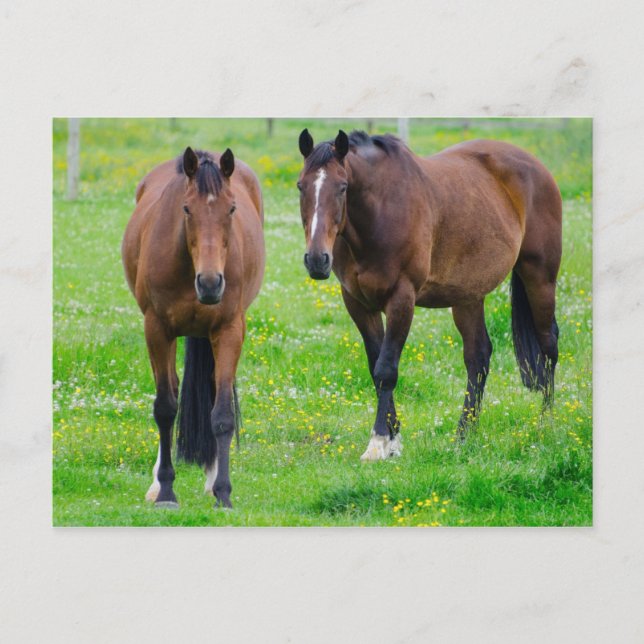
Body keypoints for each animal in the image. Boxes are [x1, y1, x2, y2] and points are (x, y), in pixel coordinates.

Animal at [122, 147, 265, 507]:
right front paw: (166, 492)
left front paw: (223, 494)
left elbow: (222, 414)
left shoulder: (229, 331)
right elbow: (165, 408)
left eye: (232, 208)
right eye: (186, 208)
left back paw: (212, 479)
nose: (211, 283)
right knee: (170, 391)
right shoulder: (157, 330)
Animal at [297, 129, 561, 461]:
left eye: (343, 187)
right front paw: (393, 439)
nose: (317, 260)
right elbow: (374, 367)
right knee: (478, 357)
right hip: (468, 296)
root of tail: (538, 167)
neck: (379, 214)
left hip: (540, 278)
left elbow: (386, 369)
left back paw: (546, 424)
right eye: (301, 186)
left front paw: (378, 442)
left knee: (548, 345)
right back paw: (464, 434)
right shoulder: (357, 303)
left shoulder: (402, 299)